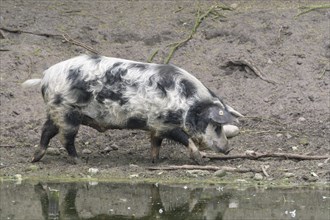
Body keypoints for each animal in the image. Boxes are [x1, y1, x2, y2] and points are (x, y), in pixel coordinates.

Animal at [21, 54, 241, 164]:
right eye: (217, 125)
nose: (228, 149)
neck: (187, 102)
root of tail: (46, 77)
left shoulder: (155, 126)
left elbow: (156, 142)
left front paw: (155, 161)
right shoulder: (164, 122)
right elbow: (185, 139)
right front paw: (200, 160)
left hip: (56, 112)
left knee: (46, 131)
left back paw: (35, 158)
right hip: (67, 112)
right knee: (65, 138)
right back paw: (80, 161)